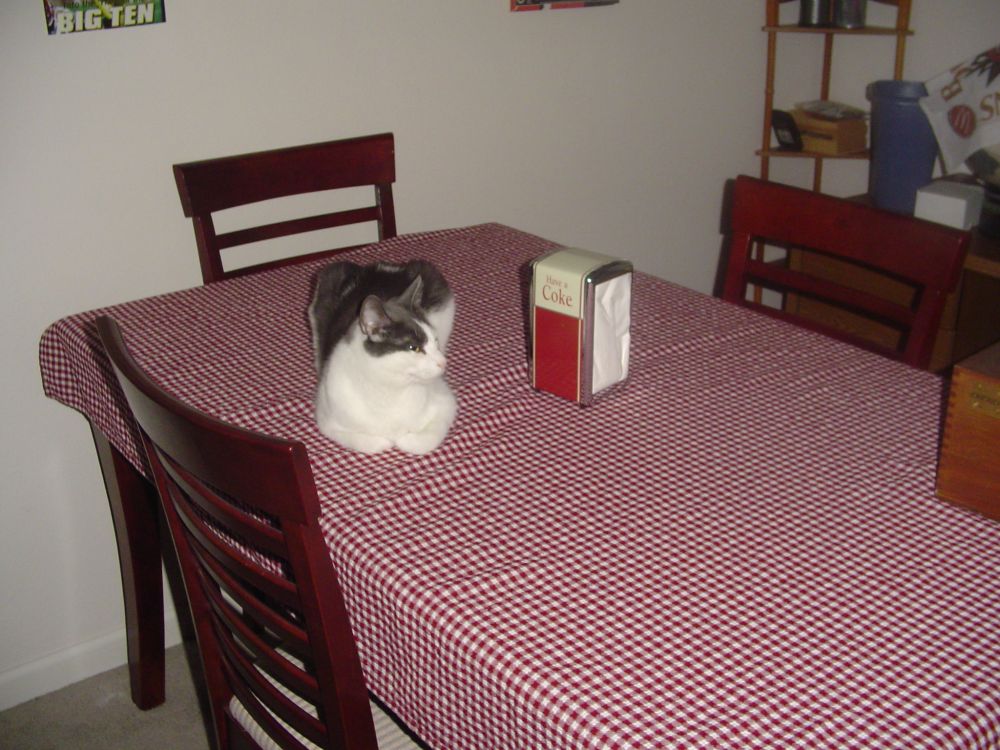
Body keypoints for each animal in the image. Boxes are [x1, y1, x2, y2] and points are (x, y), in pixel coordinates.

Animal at [308, 259, 457, 455]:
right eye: (414, 348)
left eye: (435, 341)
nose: (443, 362)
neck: (389, 390)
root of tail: (377, 267)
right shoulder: (327, 421)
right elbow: (372, 443)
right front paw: (386, 440)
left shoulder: (446, 403)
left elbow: (421, 442)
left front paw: (403, 439)